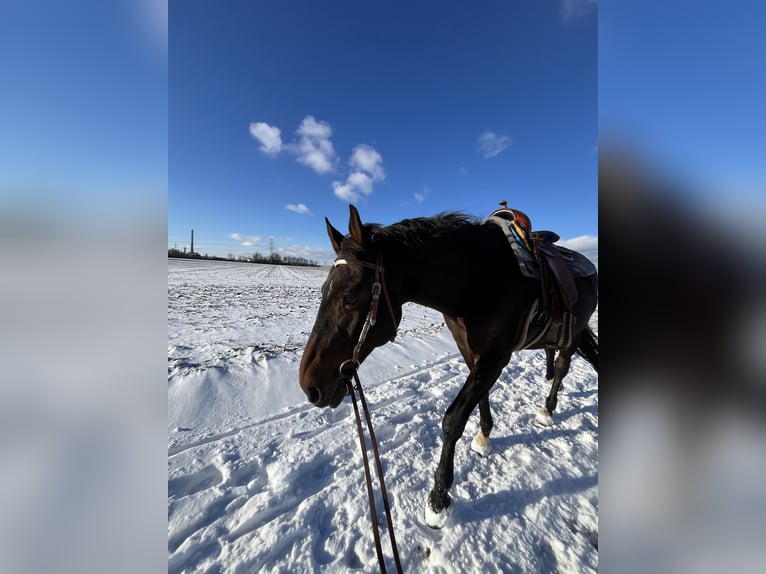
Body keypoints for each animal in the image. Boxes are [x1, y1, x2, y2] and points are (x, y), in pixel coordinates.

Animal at [299, 205, 598, 528]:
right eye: (323, 292)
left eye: (350, 297)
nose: (309, 386)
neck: (480, 281)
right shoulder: (472, 354)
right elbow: (481, 398)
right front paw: (483, 437)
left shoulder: (495, 357)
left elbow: (453, 420)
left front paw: (438, 498)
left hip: (572, 336)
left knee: (562, 367)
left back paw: (547, 409)